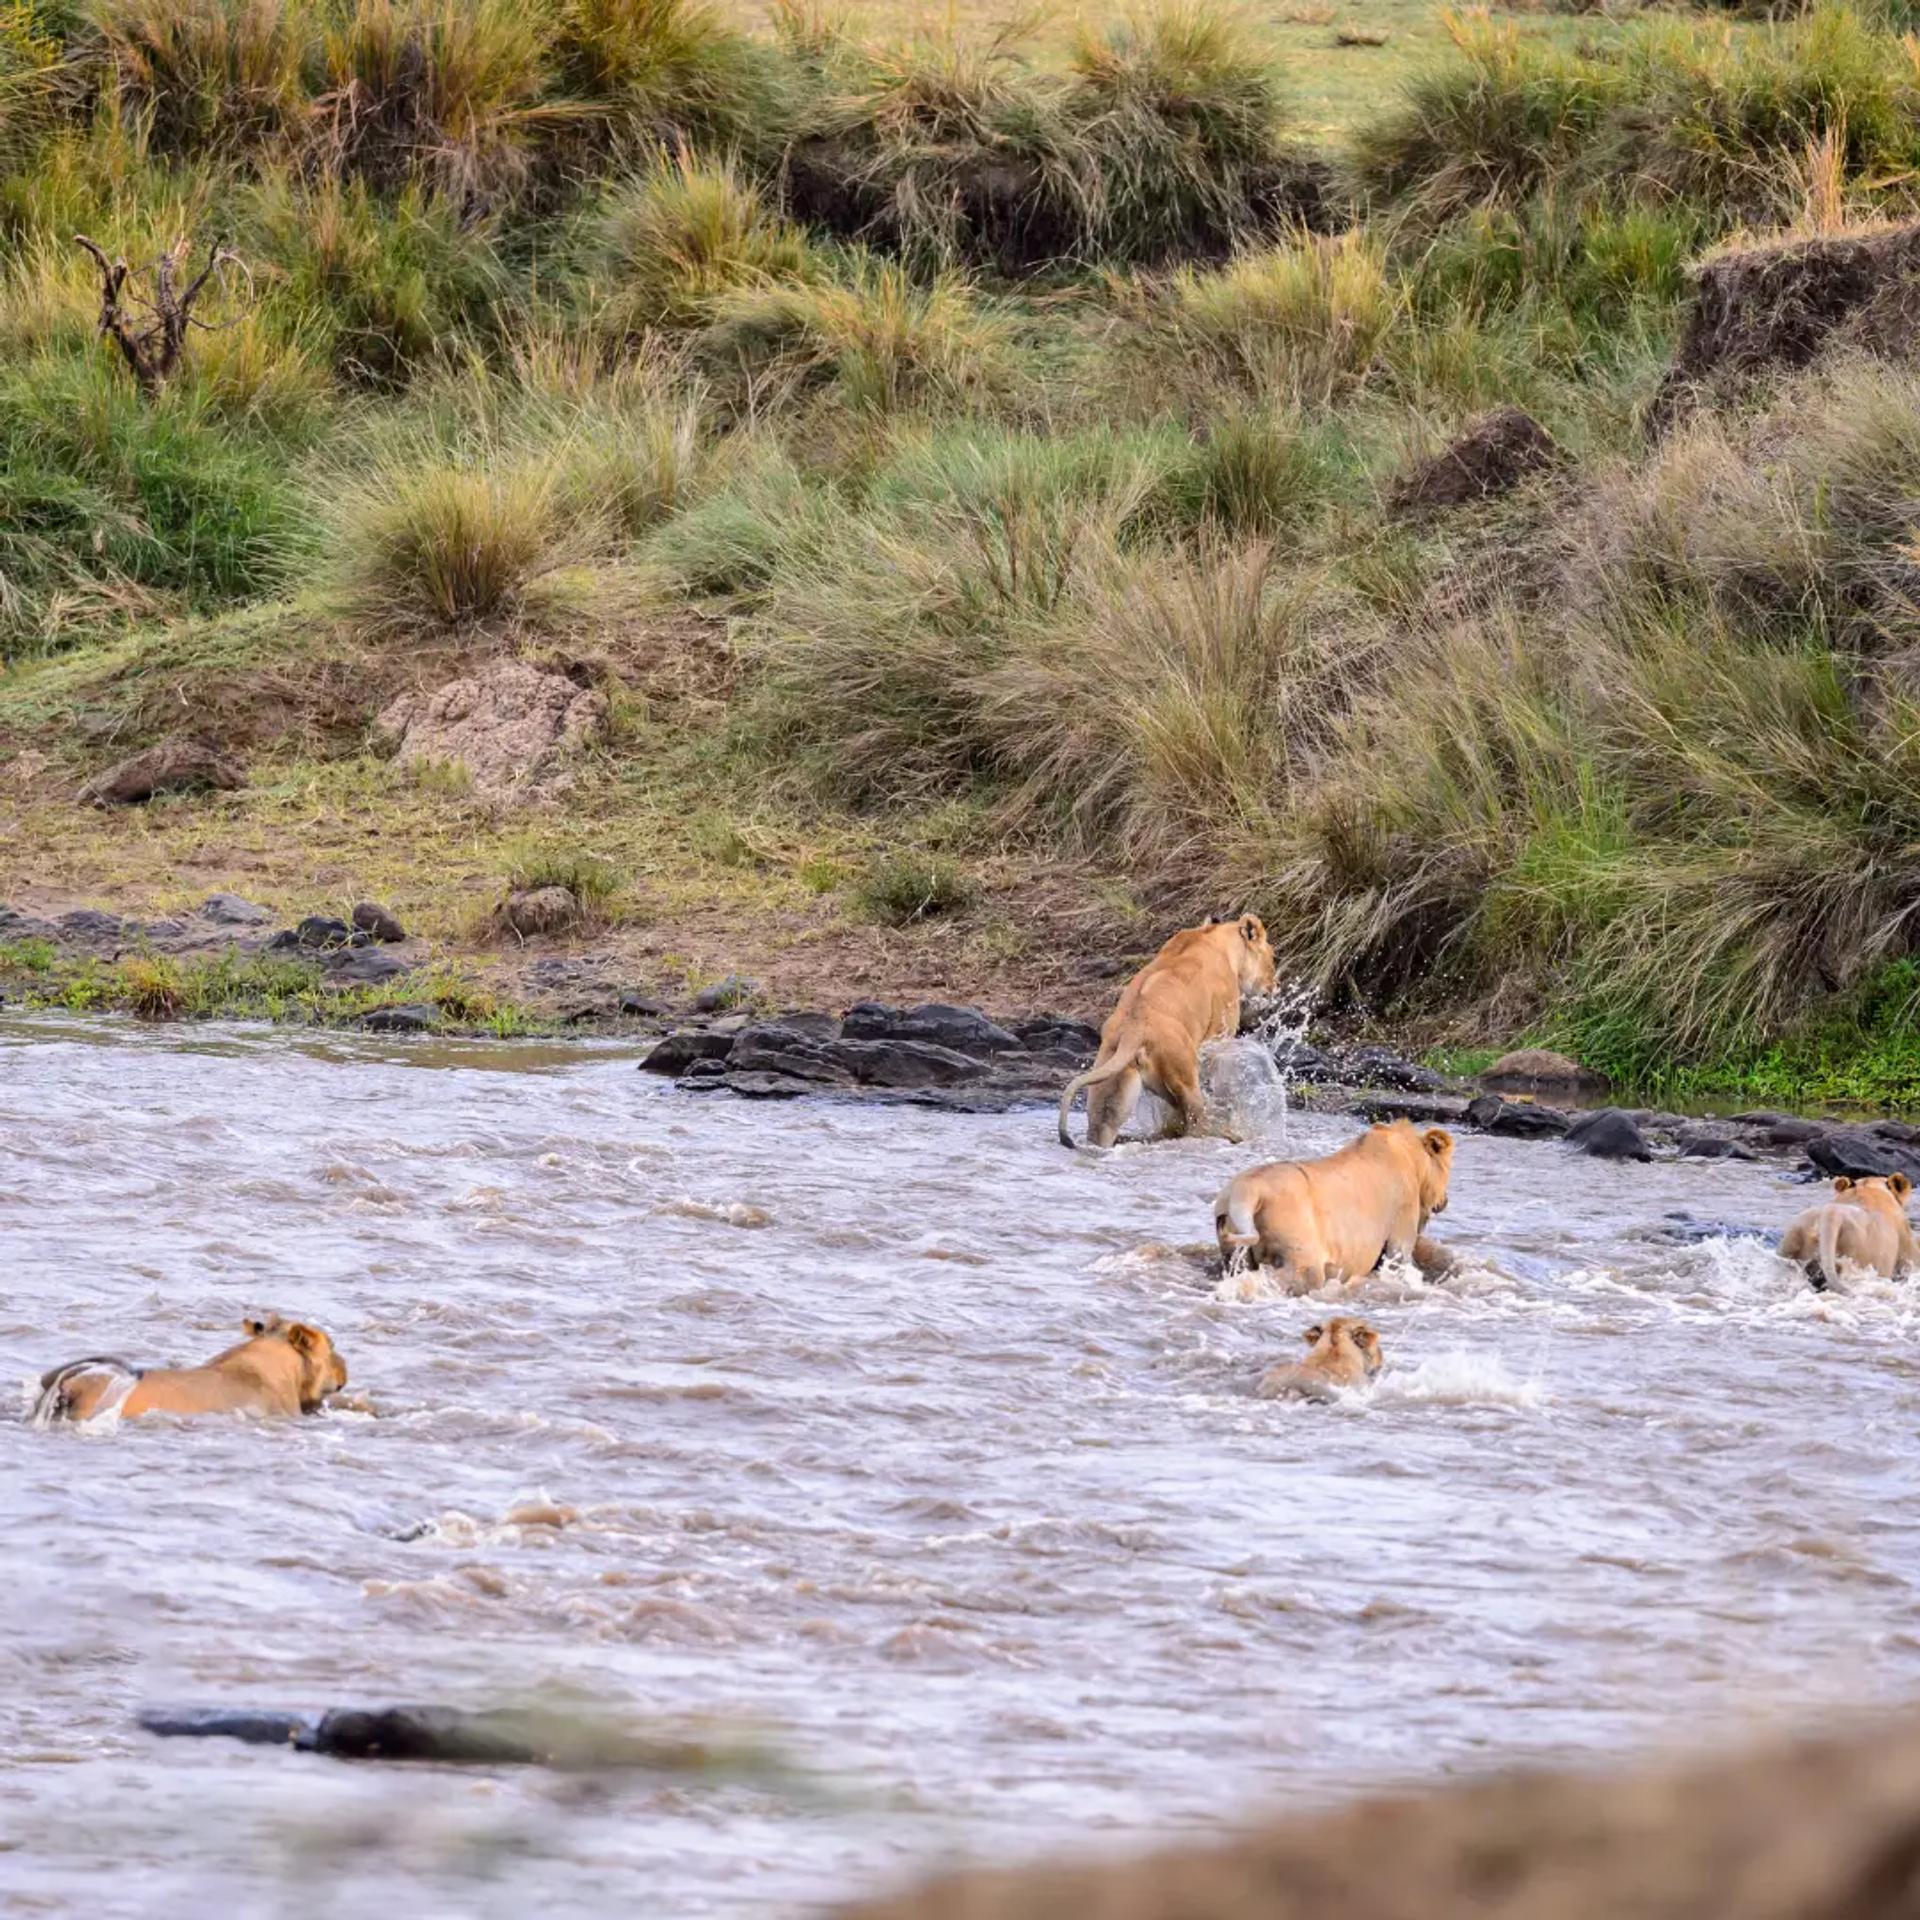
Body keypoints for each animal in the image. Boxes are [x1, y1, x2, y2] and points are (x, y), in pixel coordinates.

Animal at [1057, 914, 1278, 1148]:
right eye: (1273, 957)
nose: (1276, 986)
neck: (1215, 937)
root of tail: (1133, 1030)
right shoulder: (1219, 1035)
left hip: (1111, 1082)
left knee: (1103, 1125)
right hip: (1185, 1077)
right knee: (1195, 1122)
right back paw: (1228, 1135)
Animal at [1214, 1119, 1455, 1296]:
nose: (1445, 1200)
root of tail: (1245, 1191)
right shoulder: (1402, 1228)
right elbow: (1399, 1263)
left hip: (1235, 1252)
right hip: (1304, 1259)